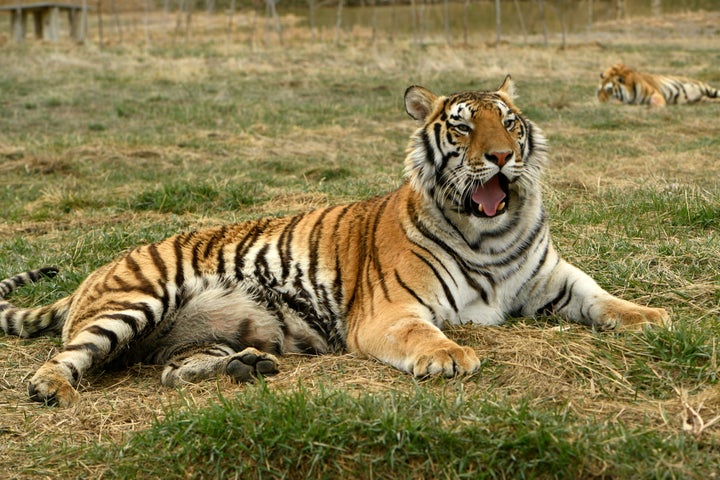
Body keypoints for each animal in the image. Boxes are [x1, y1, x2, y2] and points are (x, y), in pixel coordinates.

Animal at [0, 77, 668, 406]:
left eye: (507, 122)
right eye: (461, 127)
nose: (502, 157)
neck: (492, 234)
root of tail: (95, 272)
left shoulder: (553, 278)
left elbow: (602, 296)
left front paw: (652, 317)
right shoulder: (390, 312)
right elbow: (425, 335)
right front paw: (450, 356)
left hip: (214, 330)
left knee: (171, 372)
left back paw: (246, 368)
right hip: (136, 301)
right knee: (67, 356)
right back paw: (51, 388)